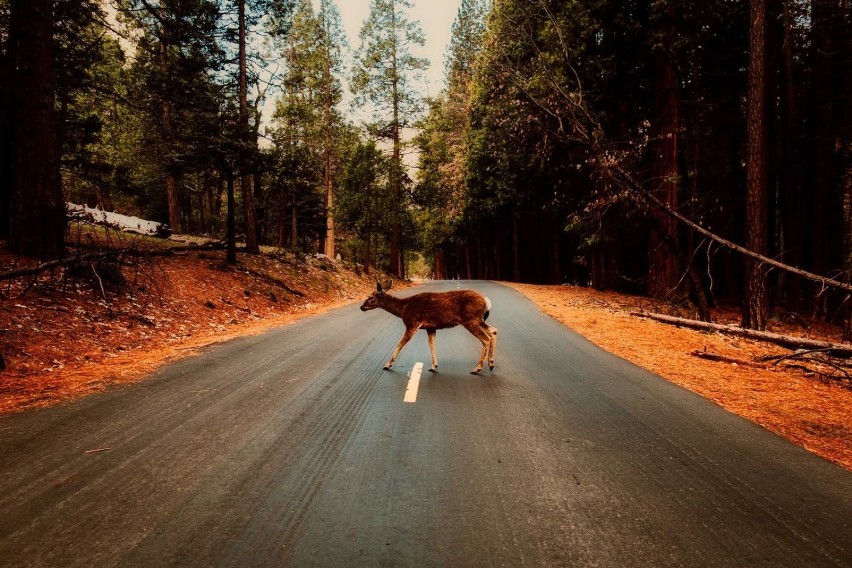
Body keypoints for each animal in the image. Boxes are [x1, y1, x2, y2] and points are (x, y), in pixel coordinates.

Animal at [362, 282, 500, 374]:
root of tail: (486, 301)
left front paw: (387, 365)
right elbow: (431, 344)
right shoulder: (430, 327)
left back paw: (477, 368)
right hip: (479, 319)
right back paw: (491, 363)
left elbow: (400, 343)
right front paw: (434, 366)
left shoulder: (412, 323)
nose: (362, 307)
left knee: (486, 339)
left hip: (471, 320)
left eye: (371, 298)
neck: (403, 308)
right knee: (493, 331)